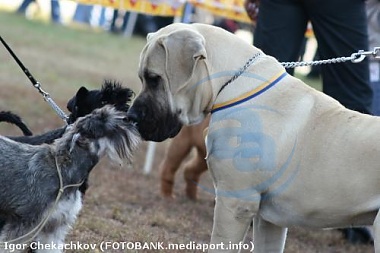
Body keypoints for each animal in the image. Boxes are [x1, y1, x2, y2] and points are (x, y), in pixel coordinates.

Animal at [127, 22, 380, 252]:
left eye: (154, 78)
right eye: (143, 77)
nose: (131, 116)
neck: (231, 84)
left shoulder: (234, 203)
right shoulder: (269, 221)